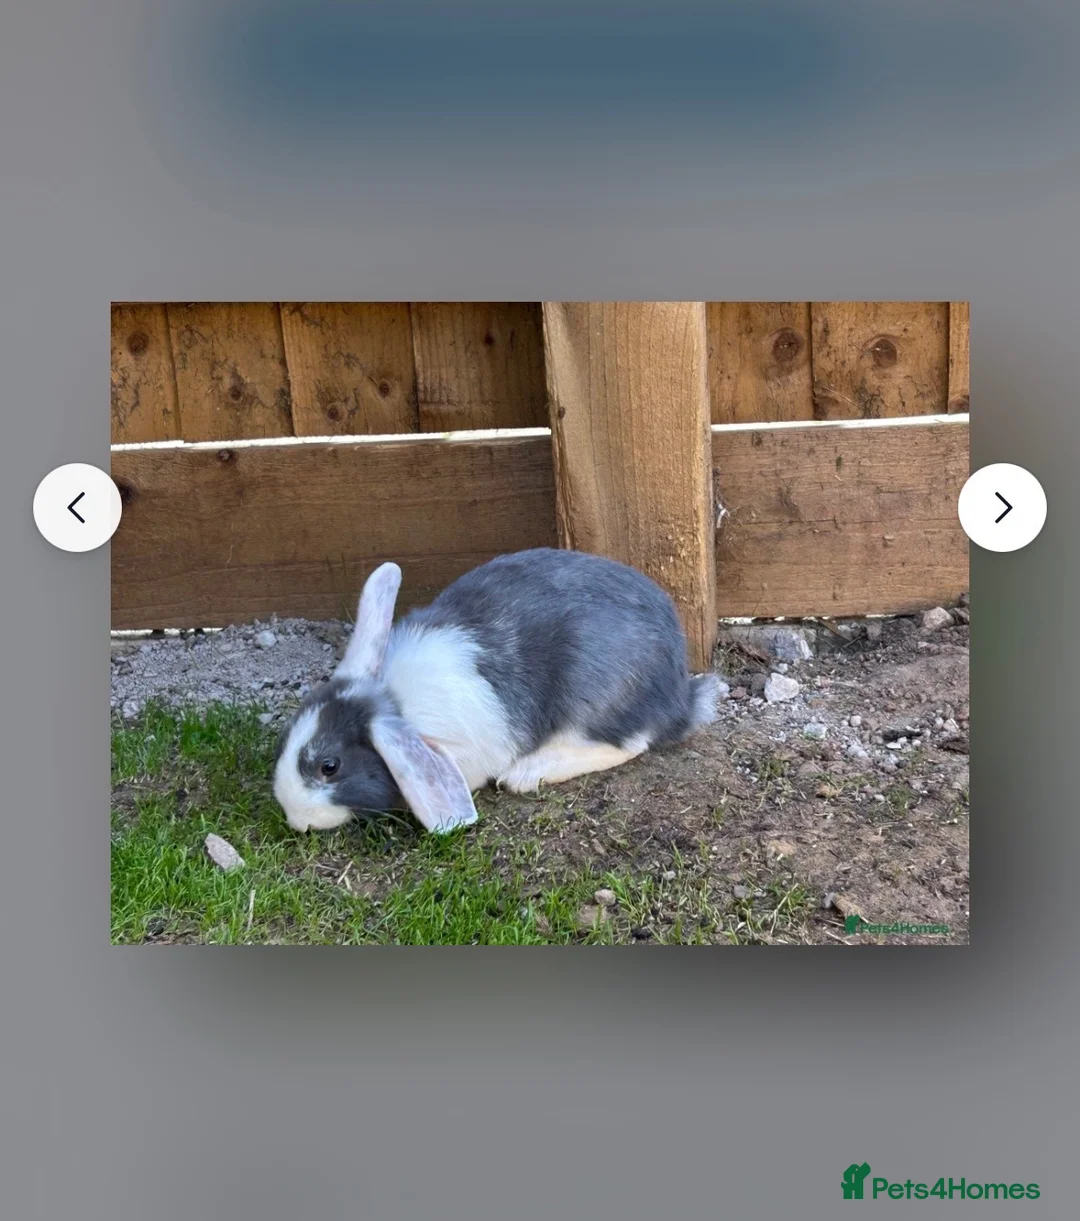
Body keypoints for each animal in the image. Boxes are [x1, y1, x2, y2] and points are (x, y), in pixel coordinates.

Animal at [272, 548, 721, 834]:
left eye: (329, 766)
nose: (294, 819)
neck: (399, 705)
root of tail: (679, 698)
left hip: (594, 695)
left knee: (629, 743)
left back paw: (528, 773)